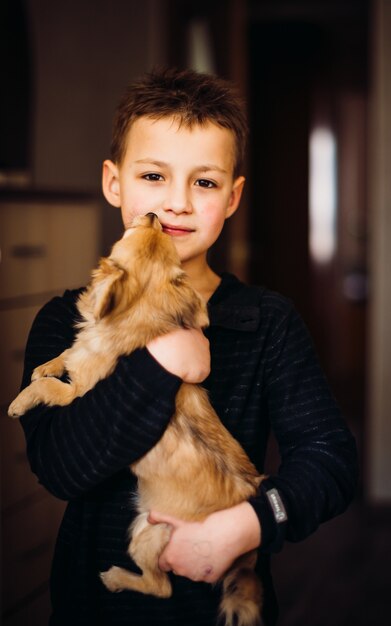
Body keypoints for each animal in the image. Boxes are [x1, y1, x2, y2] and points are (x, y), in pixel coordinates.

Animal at [9, 212, 264, 620]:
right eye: (152, 231)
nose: (155, 215)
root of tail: (246, 556)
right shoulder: (79, 354)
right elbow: (66, 355)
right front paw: (44, 365)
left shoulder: (78, 394)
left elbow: (52, 389)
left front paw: (21, 400)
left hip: (147, 534)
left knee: (160, 587)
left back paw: (116, 578)